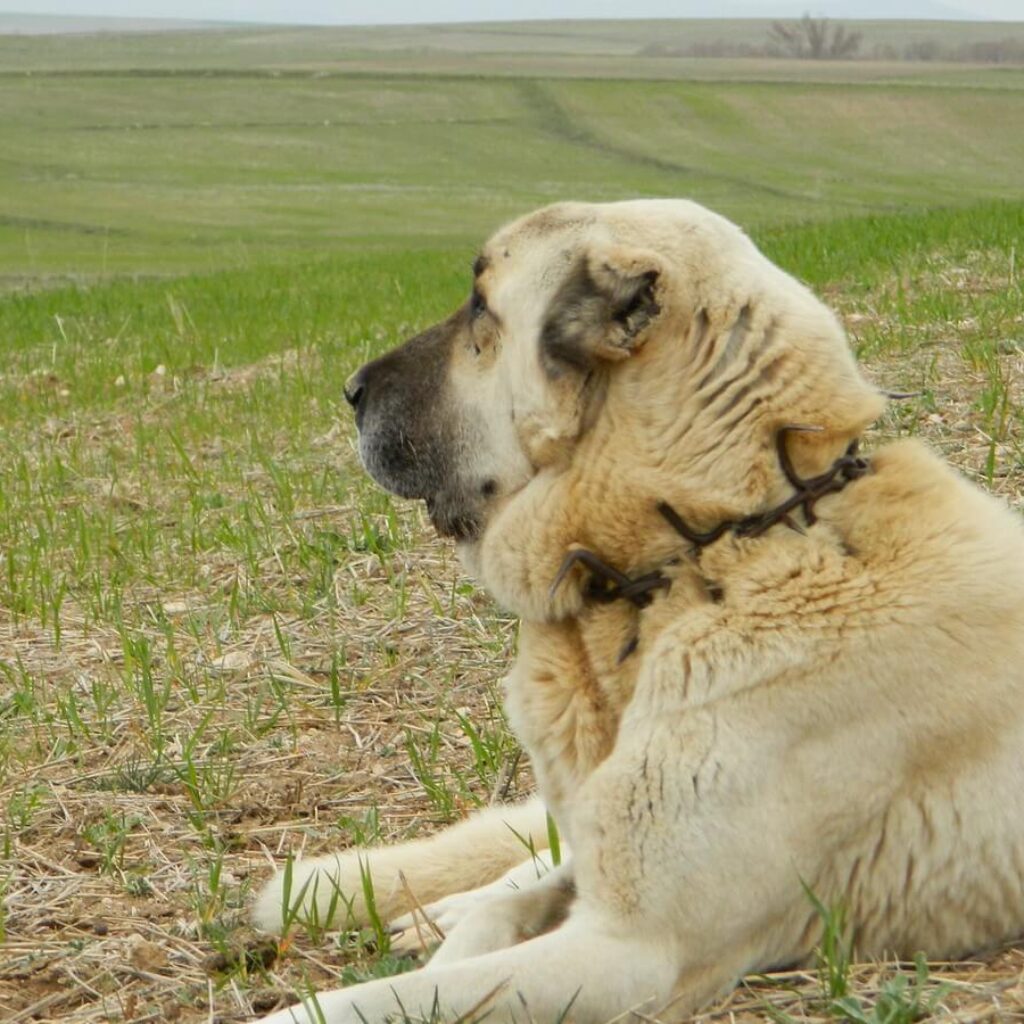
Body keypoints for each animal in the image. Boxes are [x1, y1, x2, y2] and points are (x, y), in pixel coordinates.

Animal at [251, 199, 1024, 1024]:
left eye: (482, 308)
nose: (350, 390)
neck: (718, 543)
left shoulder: (629, 946)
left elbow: (378, 999)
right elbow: (484, 928)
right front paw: (452, 923)